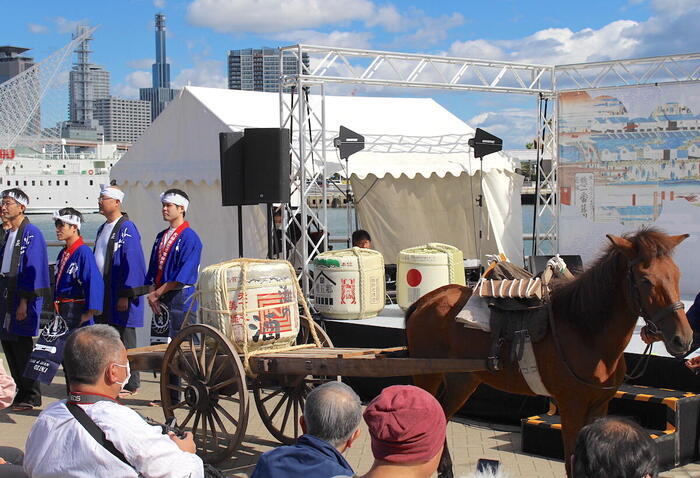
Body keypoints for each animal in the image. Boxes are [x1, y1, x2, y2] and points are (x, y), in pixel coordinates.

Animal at [404, 230, 696, 476]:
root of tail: (426, 300)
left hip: (463, 379)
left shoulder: (599, 406)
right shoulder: (571, 407)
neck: (583, 329)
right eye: (646, 280)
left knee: (442, 414)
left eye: (677, 275)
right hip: (428, 377)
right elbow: (570, 465)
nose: (683, 339)